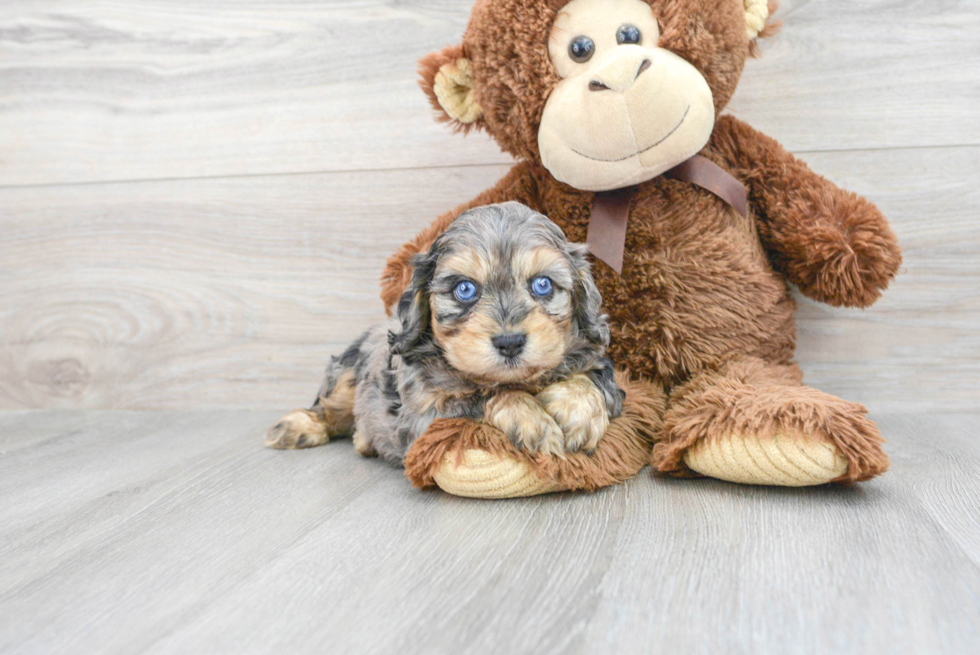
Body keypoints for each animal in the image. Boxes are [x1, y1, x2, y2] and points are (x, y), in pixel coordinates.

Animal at [264, 202, 624, 464]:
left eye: (543, 284)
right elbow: (485, 398)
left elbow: (592, 379)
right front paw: (529, 418)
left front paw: (578, 412)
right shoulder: (425, 418)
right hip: (346, 373)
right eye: (465, 289)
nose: (509, 342)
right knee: (330, 408)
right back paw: (298, 428)